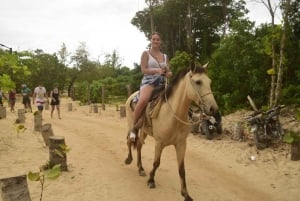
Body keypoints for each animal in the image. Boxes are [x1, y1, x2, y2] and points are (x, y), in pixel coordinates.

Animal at [124, 63, 218, 201]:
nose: (213, 109)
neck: (172, 114)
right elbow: (156, 163)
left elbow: (181, 169)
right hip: (131, 124)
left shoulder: (181, 144)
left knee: (139, 145)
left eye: (210, 82)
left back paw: (140, 168)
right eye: (198, 82)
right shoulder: (159, 143)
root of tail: (132, 96)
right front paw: (151, 180)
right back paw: (128, 159)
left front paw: (186, 194)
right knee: (129, 140)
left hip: (144, 131)